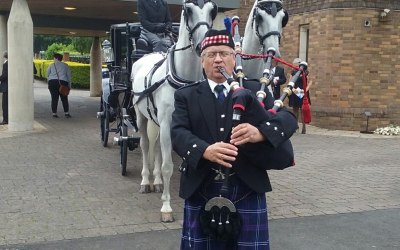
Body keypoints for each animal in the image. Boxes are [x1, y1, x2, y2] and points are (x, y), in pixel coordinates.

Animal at [130, 0, 219, 223]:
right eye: (188, 10)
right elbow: (168, 166)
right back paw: (146, 181)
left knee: (157, 149)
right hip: (141, 117)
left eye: (212, 10)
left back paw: (157, 182)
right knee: (145, 145)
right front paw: (166, 208)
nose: (203, 45)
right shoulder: (167, 125)